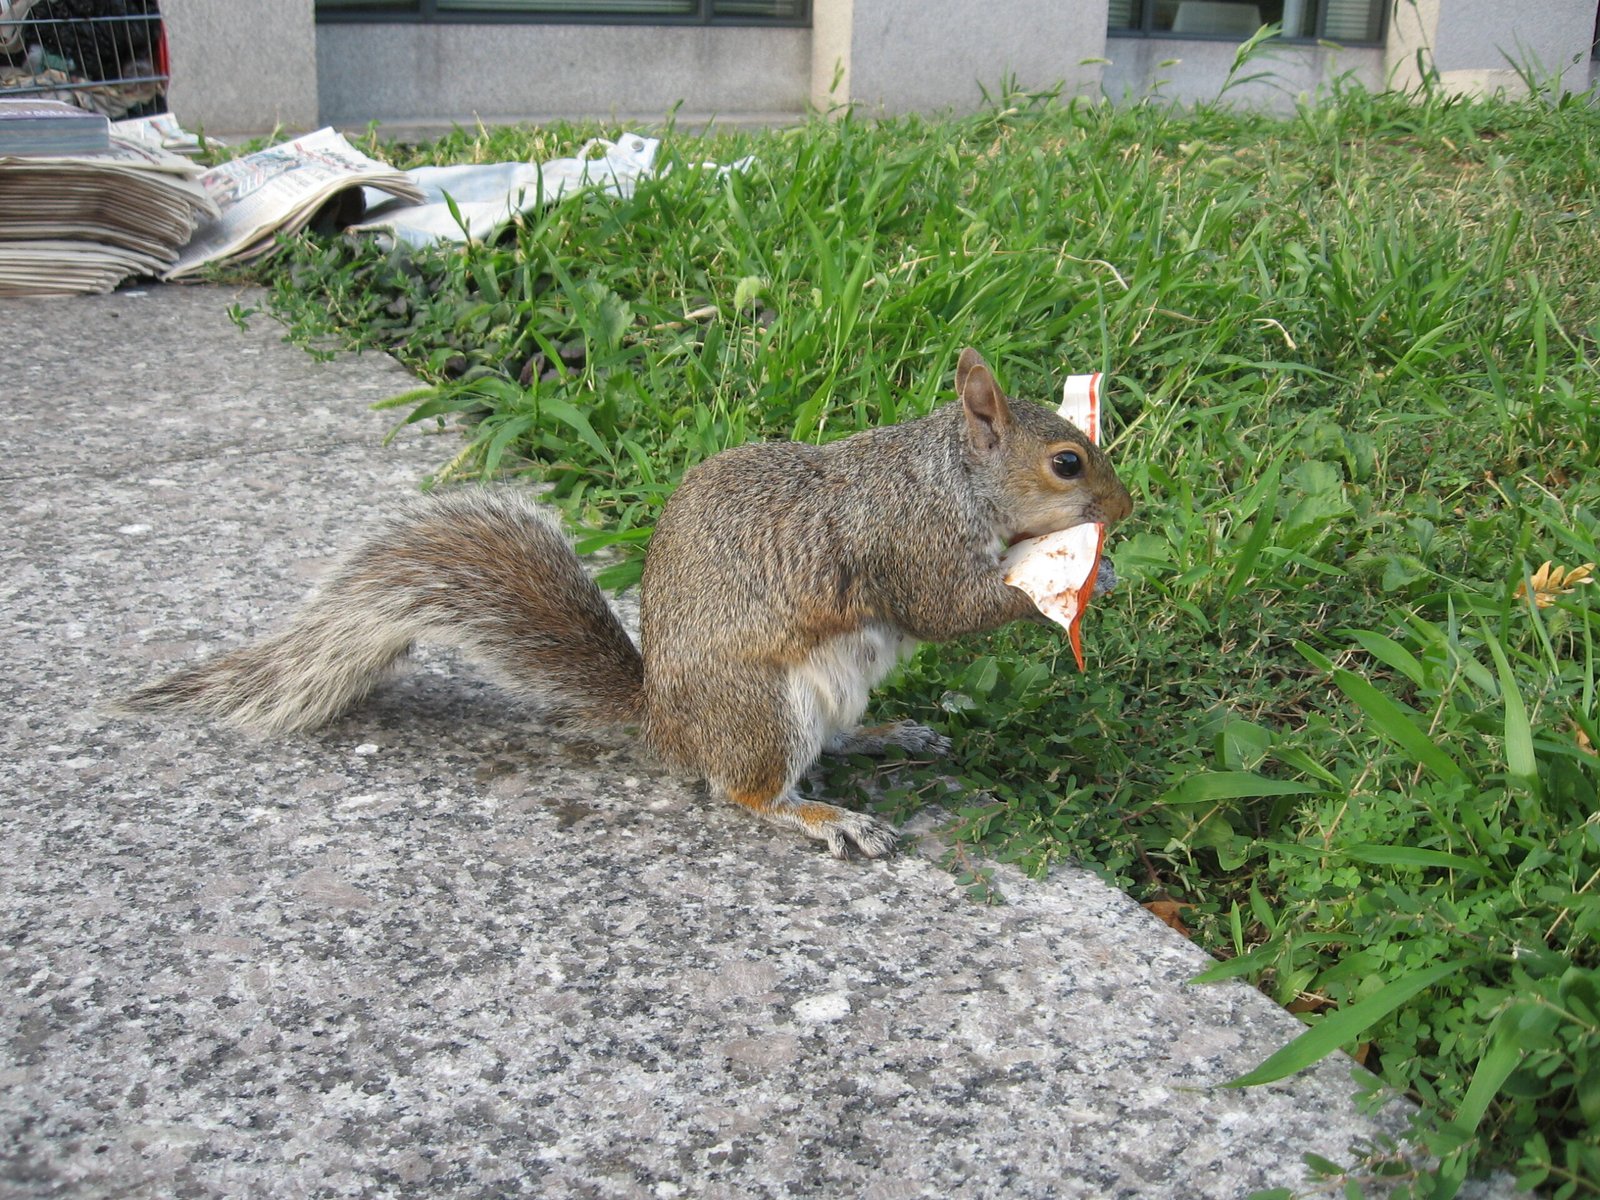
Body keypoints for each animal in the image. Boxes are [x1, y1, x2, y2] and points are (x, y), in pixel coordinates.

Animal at [123, 348, 1133, 859]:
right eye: (1067, 462)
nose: (1124, 512)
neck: (948, 475)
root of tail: (664, 724)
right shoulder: (907, 542)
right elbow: (950, 610)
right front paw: (1073, 585)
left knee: (833, 745)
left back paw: (892, 736)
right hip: (764, 708)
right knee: (745, 791)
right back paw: (824, 818)